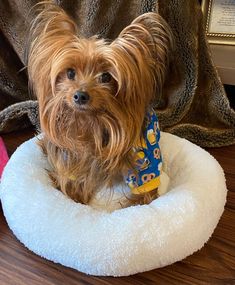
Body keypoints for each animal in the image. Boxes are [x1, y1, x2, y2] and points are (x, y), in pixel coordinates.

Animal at [27, 3, 173, 205]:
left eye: (106, 77)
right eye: (70, 73)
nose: (80, 95)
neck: (92, 120)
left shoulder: (144, 152)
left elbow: (147, 186)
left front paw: (140, 201)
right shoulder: (72, 152)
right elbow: (72, 177)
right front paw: (74, 194)